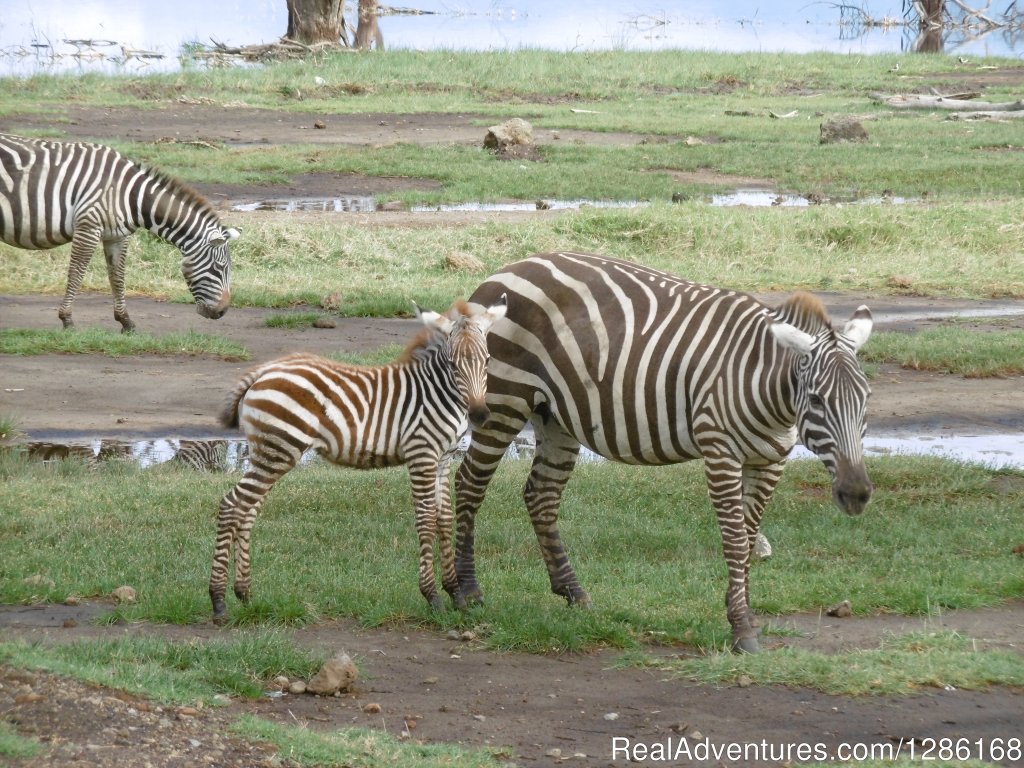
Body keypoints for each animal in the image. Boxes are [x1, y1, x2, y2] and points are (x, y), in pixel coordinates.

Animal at [0, 134, 237, 331]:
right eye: (219, 268)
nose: (223, 311)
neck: (132, 196)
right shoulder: (88, 226)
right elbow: (77, 272)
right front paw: (67, 319)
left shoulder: (117, 235)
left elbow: (117, 275)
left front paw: (125, 321)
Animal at [208, 296, 507, 626]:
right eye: (453, 365)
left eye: (488, 360)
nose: (479, 415)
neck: (438, 394)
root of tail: (264, 371)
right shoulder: (422, 455)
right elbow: (426, 518)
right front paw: (432, 597)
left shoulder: (443, 460)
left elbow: (443, 518)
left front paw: (455, 594)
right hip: (278, 450)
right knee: (232, 505)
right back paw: (218, 602)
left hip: (266, 454)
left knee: (246, 510)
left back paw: (244, 594)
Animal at [454, 253, 872, 655]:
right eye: (816, 399)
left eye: (865, 399)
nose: (856, 494)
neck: (769, 390)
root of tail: (502, 271)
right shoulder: (720, 450)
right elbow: (736, 540)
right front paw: (741, 628)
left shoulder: (772, 459)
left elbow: (751, 537)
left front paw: (744, 613)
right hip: (505, 401)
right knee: (469, 484)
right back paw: (464, 590)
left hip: (554, 416)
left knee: (541, 496)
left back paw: (573, 592)